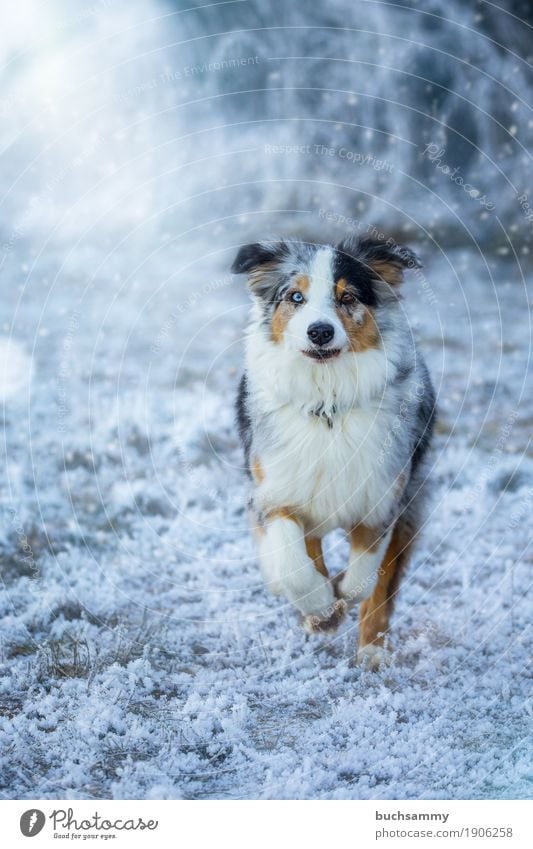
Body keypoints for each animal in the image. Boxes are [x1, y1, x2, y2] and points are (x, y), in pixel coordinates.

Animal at [231, 235, 434, 664]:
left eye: (348, 297)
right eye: (295, 296)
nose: (320, 332)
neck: (327, 404)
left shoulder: (384, 497)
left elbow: (365, 575)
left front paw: (340, 597)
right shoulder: (276, 490)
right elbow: (294, 560)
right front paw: (320, 609)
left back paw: (372, 652)